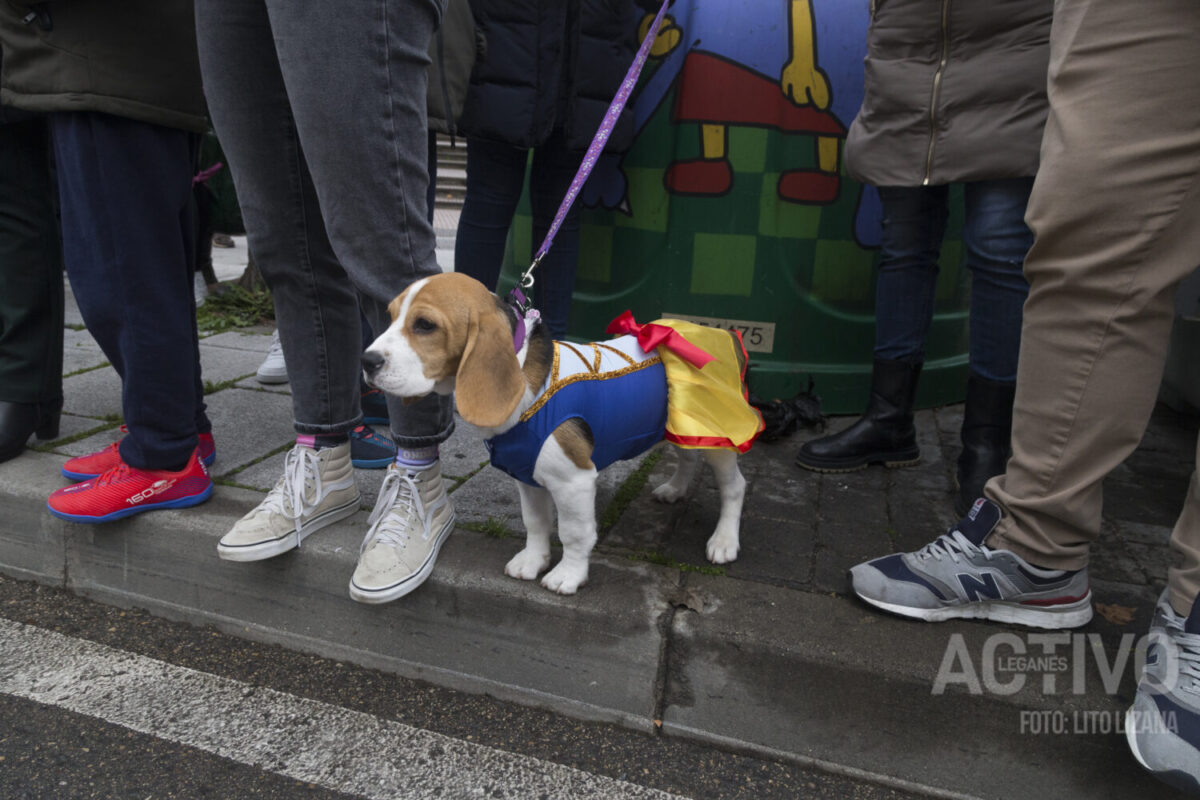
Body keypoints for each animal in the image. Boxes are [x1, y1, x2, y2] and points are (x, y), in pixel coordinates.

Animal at [362, 275, 748, 594]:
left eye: (425, 325)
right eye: (390, 315)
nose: (367, 361)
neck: (524, 376)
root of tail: (724, 335)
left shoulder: (573, 480)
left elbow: (574, 533)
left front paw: (568, 575)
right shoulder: (527, 475)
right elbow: (536, 523)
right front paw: (533, 561)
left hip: (719, 438)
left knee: (734, 486)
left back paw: (724, 541)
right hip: (680, 427)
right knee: (688, 457)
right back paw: (675, 489)